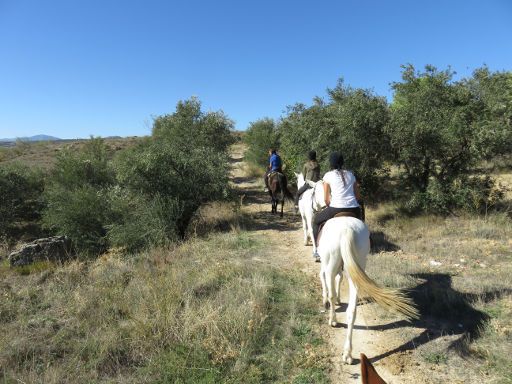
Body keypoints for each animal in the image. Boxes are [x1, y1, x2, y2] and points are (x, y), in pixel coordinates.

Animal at [310, 182, 418, 364]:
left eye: (314, 192)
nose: (314, 207)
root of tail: (346, 229)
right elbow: (339, 280)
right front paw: (339, 299)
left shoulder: (326, 266)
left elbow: (325, 281)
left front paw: (327, 301)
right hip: (357, 267)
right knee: (352, 310)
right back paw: (347, 353)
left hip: (331, 263)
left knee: (333, 291)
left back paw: (333, 321)